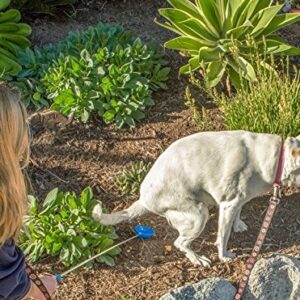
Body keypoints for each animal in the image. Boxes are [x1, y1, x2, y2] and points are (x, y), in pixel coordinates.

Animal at [92, 130, 300, 266]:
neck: (279, 158)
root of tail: (143, 199)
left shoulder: (237, 200)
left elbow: (238, 213)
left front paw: (239, 225)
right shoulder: (228, 204)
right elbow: (222, 237)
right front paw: (224, 256)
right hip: (198, 214)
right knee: (180, 242)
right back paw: (198, 259)